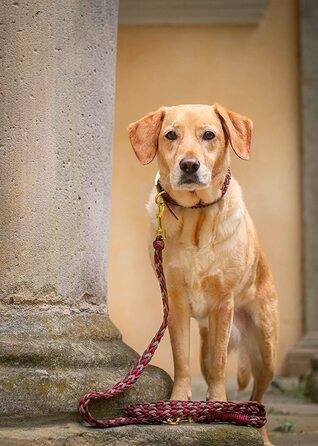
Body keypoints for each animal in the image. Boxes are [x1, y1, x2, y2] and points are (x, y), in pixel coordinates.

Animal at [129, 104, 278, 446]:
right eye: (171, 135)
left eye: (209, 134)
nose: (189, 165)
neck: (195, 216)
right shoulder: (176, 303)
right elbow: (181, 360)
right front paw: (178, 402)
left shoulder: (223, 303)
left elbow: (221, 366)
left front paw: (220, 405)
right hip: (207, 345)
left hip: (267, 350)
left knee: (258, 399)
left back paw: (259, 432)